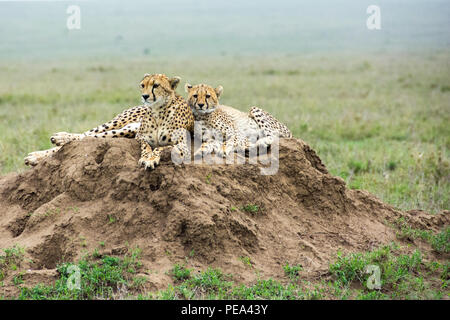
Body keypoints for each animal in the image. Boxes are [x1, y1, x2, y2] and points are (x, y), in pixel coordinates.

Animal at [24, 73, 193, 170]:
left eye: (156, 85)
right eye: (142, 85)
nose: (145, 96)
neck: (158, 112)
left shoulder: (183, 144)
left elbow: (160, 148)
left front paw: (150, 159)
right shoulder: (141, 137)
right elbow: (148, 147)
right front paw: (147, 158)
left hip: (128, 130)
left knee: (93, 137)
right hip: (122, 125)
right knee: (88, 135)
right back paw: (52, 143)